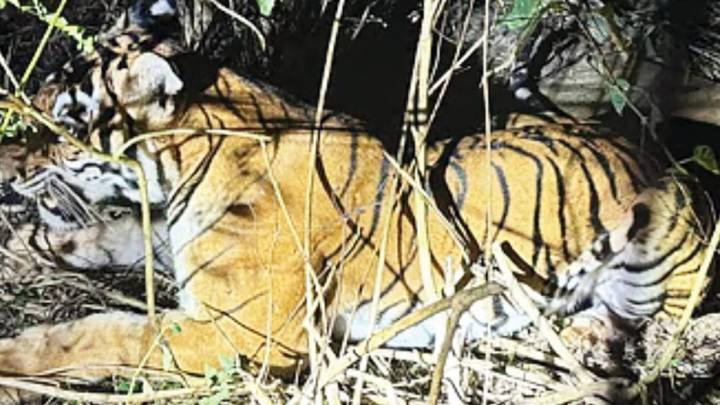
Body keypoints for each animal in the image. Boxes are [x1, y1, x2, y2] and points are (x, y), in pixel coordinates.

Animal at [0, 3, 715, 401]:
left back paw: (588, 333)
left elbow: (106, 333)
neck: (181, 174)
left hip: (657, 250)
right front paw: (33, 242)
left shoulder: (242, 332)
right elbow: (121, 233)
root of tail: (651, 152)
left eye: (63, 121)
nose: (6, 165)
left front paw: (15, 360)